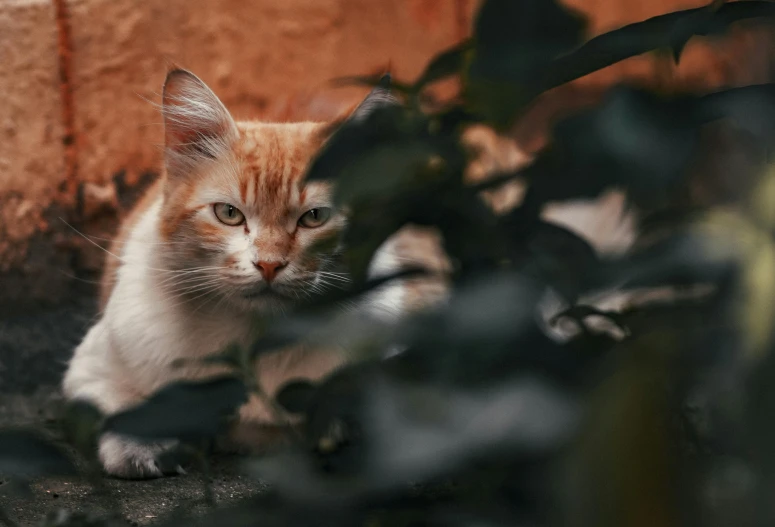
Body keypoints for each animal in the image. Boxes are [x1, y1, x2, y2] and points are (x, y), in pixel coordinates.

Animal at [63, 69, 406, 478]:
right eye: (228, 214)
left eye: (314, 217)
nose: (269, 264)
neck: (254, 339)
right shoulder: (90, 368)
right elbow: (124, 405)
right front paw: (144, 447)